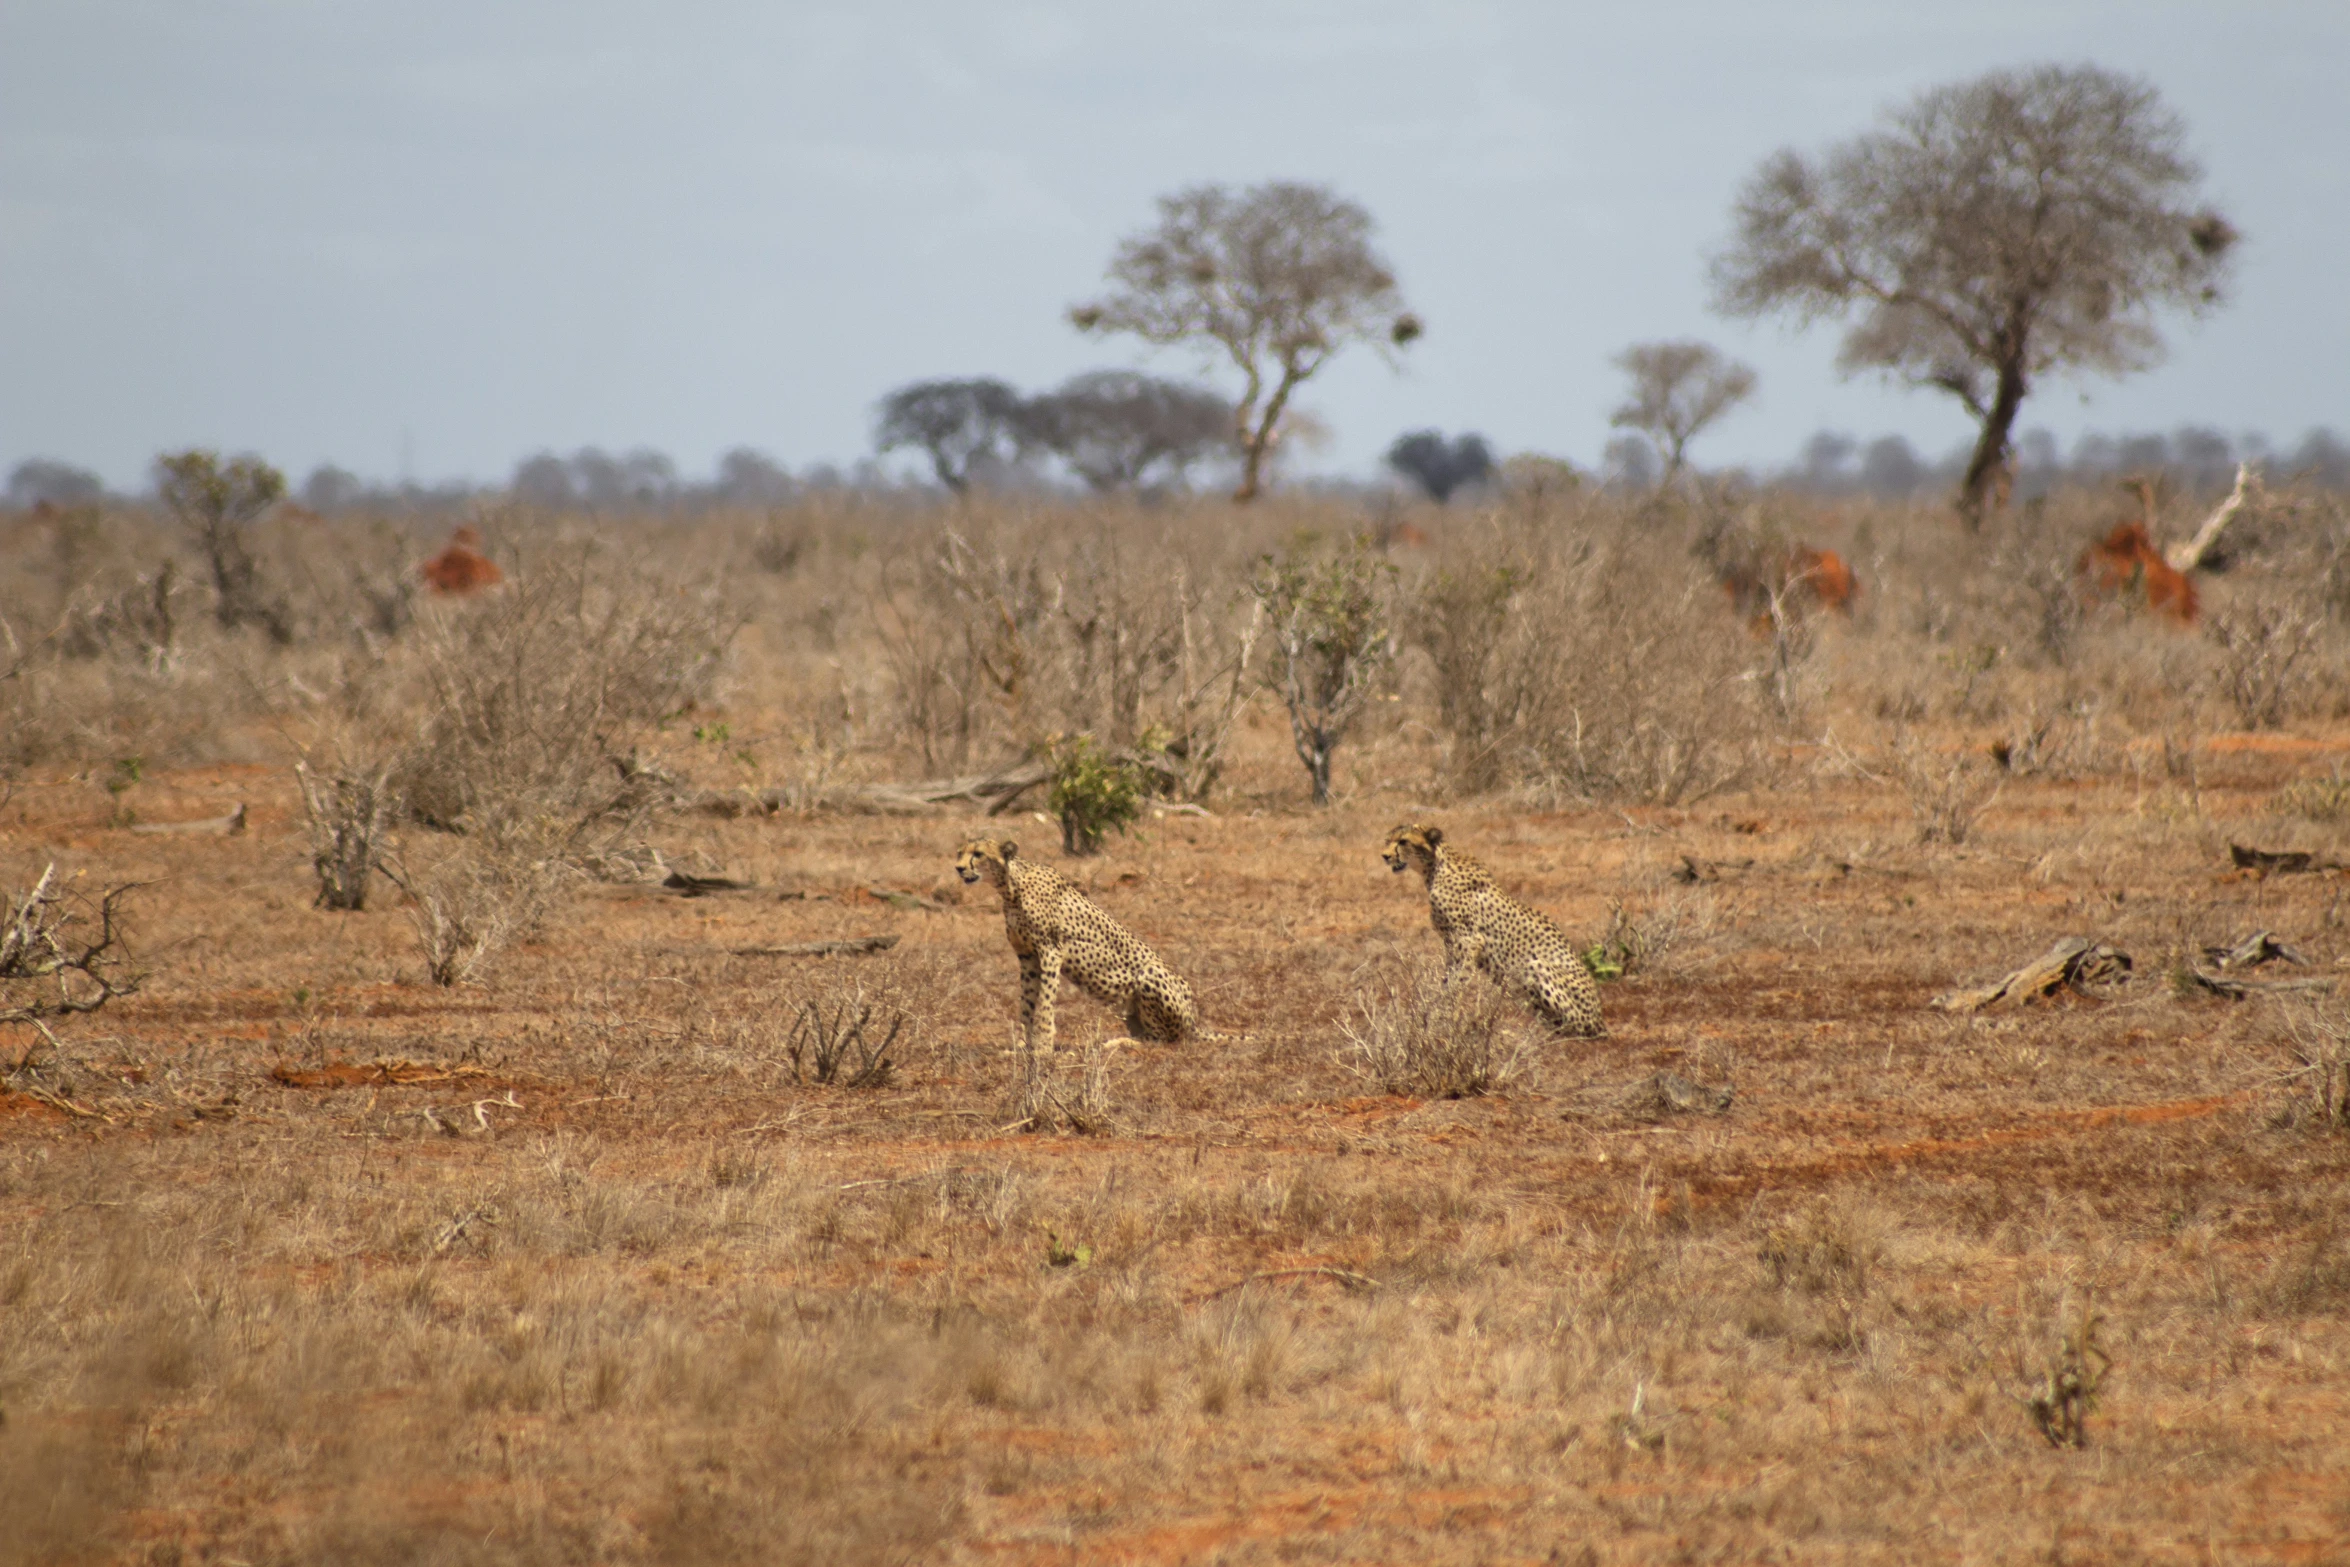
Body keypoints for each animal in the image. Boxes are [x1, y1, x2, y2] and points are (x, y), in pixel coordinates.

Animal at [954, 841, 1212, 1061]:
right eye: (960, 852)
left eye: (978, 853)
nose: (958, 868)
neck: (1011, 887)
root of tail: (1194, 1021)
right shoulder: (1027, 955)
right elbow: (1027, 1004)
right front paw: (1023, 1048)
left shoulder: (1050, 952)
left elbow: (1044, 1004)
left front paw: (1043, 1050)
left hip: (1150, 974)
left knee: (1165, 1039)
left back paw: (1118, 1043)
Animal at [1381, 822, 1607, 1043]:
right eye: (1388, 840)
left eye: (1403, 841)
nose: (1385, 856)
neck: (1434, 868)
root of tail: (1600, 1022)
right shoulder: (1452, 942)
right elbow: (1448, 980)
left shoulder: (1468, 940)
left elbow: (1455, 983)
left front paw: (1442, 1017)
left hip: (1534, 968)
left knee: (1572, 1030)